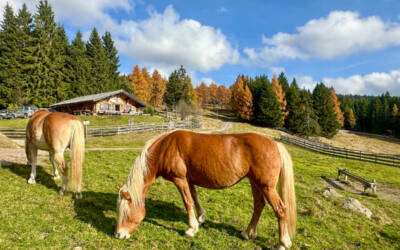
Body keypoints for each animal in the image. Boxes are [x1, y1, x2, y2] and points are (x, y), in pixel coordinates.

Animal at [115, 130, 296, 249]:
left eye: (126, 212)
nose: (118, 235)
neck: (166, 147)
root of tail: (275, 144)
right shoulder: (188, 180)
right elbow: (194, 198)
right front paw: (201, 218)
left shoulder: (179, 179)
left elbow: (187, 201)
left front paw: (191, 229)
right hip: (255, 182)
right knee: (259, 205)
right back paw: (248, 233)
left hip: (266, 187)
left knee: (280, 210)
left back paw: (282, 243)